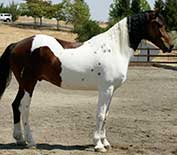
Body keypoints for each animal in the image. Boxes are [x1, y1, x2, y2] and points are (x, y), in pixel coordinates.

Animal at [0, 10, 174, 153]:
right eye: (158, 24)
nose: (170, 46)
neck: (114, 49)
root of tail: (17, 44)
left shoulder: (112, 90)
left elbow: (106, 115)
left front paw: (106, 142)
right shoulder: (106, 89)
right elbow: (101, 115)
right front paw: (98, 145)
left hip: (24, 84)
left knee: (15, 105)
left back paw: (20, 139)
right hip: (29, 83)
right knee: (24, 107)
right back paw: (31, 141)